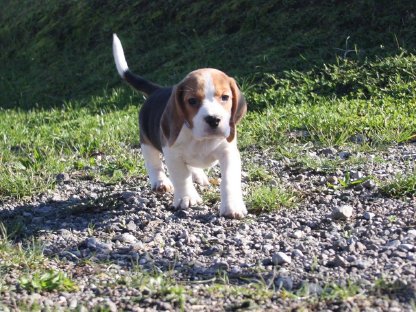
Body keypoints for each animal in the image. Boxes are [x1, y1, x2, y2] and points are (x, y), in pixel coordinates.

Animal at [110, 34, 247, 218]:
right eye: (192, 101)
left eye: (225, 97)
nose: (213, 119)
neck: (200, 139)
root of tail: (157, 90)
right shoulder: (172, 153)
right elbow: (181, 176)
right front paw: (187, 198)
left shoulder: (229, 153)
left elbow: (229, 180)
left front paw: (232, 206)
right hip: (146, 141)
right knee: (154, 164)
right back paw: (160, 182)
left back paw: (198, 175)